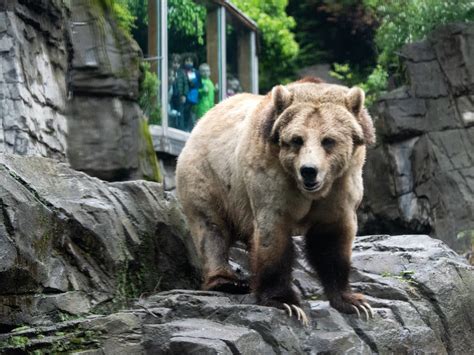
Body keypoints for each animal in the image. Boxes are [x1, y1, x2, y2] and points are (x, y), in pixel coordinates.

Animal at [176, 80, 376, 326]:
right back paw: (228, 281)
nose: (309, 171)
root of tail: (203, 118)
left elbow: (331, 239)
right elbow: (273, 235)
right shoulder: (270, 177)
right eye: (297, 140)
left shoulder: (342, 185)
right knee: (211, 228)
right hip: (208, 177)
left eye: (328, 140)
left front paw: (354, 302)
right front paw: (286, 302)